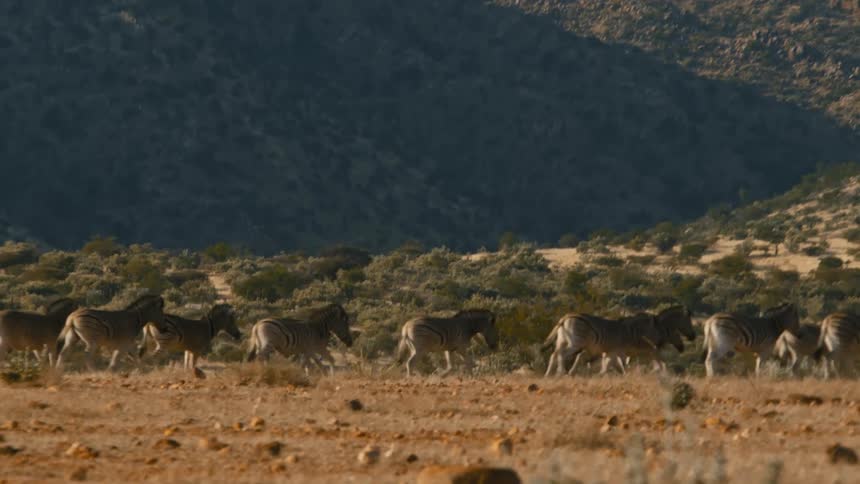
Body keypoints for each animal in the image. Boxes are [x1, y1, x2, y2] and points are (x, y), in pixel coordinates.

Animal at [543, 306, 694, 377]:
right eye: (689, 321)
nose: (693, 337)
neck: (656, 327)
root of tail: (565, 317)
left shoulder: (620, 352)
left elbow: (621, 367)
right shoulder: (648, 351)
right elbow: (661, 366)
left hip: (564, 342)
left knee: (554, 355)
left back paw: (549, 374)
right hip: (575, 344)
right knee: (560, 355)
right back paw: (560, 372)